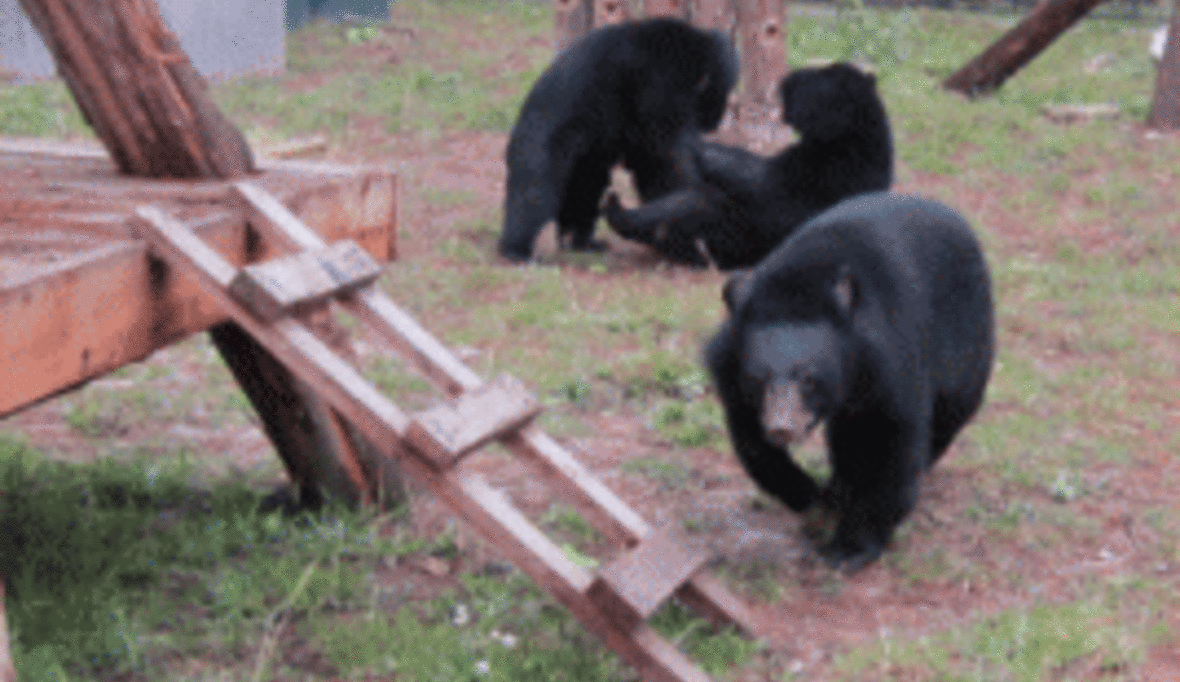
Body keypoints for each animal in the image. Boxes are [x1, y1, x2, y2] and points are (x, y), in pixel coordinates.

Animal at [497, 17, 736, 263]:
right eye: (718, 96)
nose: (715, 121)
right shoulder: (659, 88)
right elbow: (668, 155)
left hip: (584, 158)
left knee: (586, 187)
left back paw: (580, 241)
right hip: (547, 143)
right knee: (535, 191)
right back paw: (516, 248)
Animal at [604, 61, 887, 267]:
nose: (785, 83)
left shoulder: (831, 168)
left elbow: (768, 183)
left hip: (735, 239)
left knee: (696, 205)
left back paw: (623, 213)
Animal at [707, 191, 995, 568]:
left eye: (809, 380)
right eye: (758, 379)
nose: (782, 428)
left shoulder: (892, 363)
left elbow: (889, 443)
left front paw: (849, 549)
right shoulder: (732, 374)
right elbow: (752, 440)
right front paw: (811, 497)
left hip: (966, 339)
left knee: (949, 413)